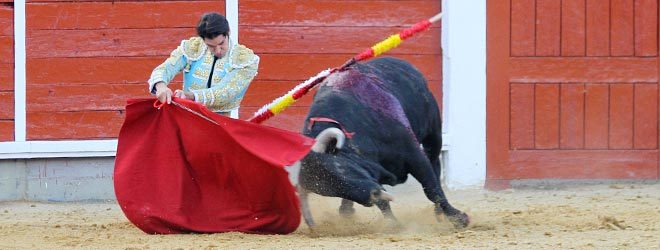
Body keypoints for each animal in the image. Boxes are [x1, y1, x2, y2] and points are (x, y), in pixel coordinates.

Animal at [294, 56, 470, 229]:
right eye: (332, 191)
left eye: (340, 168)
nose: (371, 196)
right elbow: (384, 203)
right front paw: (394, 224)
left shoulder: (414, 155)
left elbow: (432, 189)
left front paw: (459, 219)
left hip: (433, 135)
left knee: (435, 166)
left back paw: (439, 213)